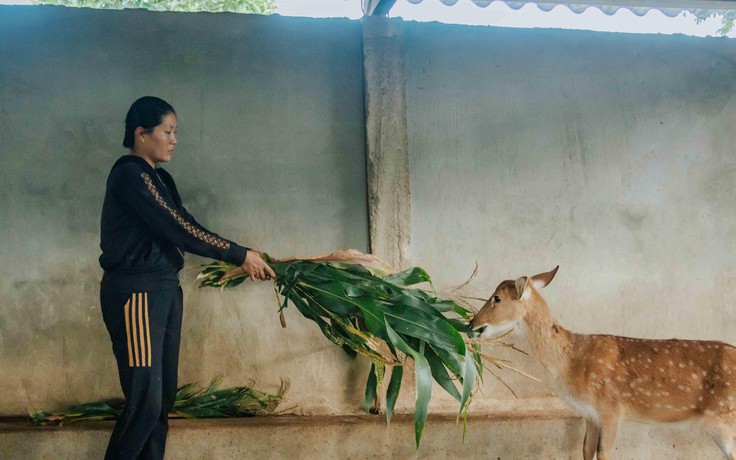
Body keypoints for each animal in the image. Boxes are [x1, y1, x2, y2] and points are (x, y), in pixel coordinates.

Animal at [468, 268, 736, 458]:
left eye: (497, 298)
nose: (472, 324)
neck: (571, 361)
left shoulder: (612, 409)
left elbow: (603, 453)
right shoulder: (591, 414)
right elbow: (586, 450)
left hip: (722, 417)